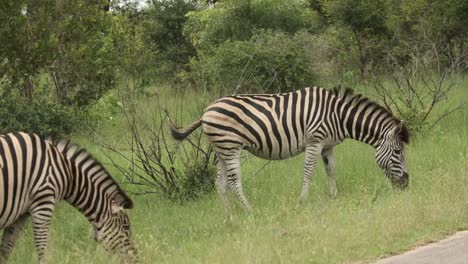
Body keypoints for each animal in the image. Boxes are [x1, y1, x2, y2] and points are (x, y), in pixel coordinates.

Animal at [0, 132, 135, 262]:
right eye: (126, 227)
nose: (135, 257)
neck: (68, 173)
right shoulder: (43, 205)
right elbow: (42, 249)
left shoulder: (21, 214)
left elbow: (6, 250)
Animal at [171, 87, 410, 213]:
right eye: (398, 153)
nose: (406, 184)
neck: (338, 115)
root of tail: (205, 112)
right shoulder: (315, 141)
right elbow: (309, 172)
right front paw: (302, 201)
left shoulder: (328, 145)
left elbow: (331, 170)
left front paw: (333, 196)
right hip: (230, 148)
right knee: (232, 182)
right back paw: (250, 212)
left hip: (221, 150)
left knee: (220, 184)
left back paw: (232, 219)